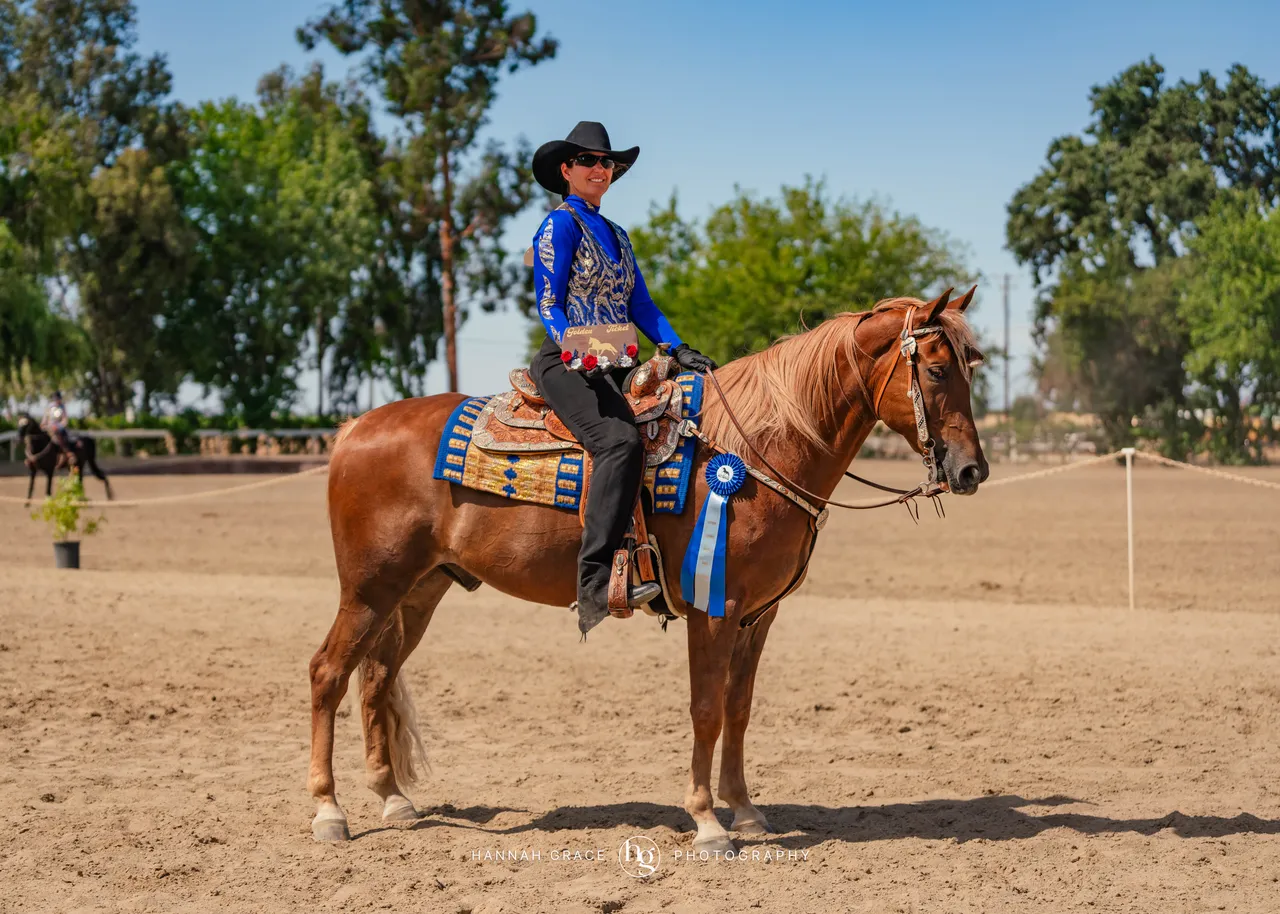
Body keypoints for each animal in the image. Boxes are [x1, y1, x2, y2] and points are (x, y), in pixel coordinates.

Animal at [309, 289, 989, 851]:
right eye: (935, 369)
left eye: (970, 367)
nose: (971, 471)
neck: (749, 447)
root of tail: (354, 427)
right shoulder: (714, 609)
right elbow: (706, 708)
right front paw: (708, 821)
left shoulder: (758, 615)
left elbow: (739, 707)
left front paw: (745, 810)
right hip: (369, 589)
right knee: (329, 674)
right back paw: (328, 813)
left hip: (419, 591)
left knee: (376, 678)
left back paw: (393, 799)